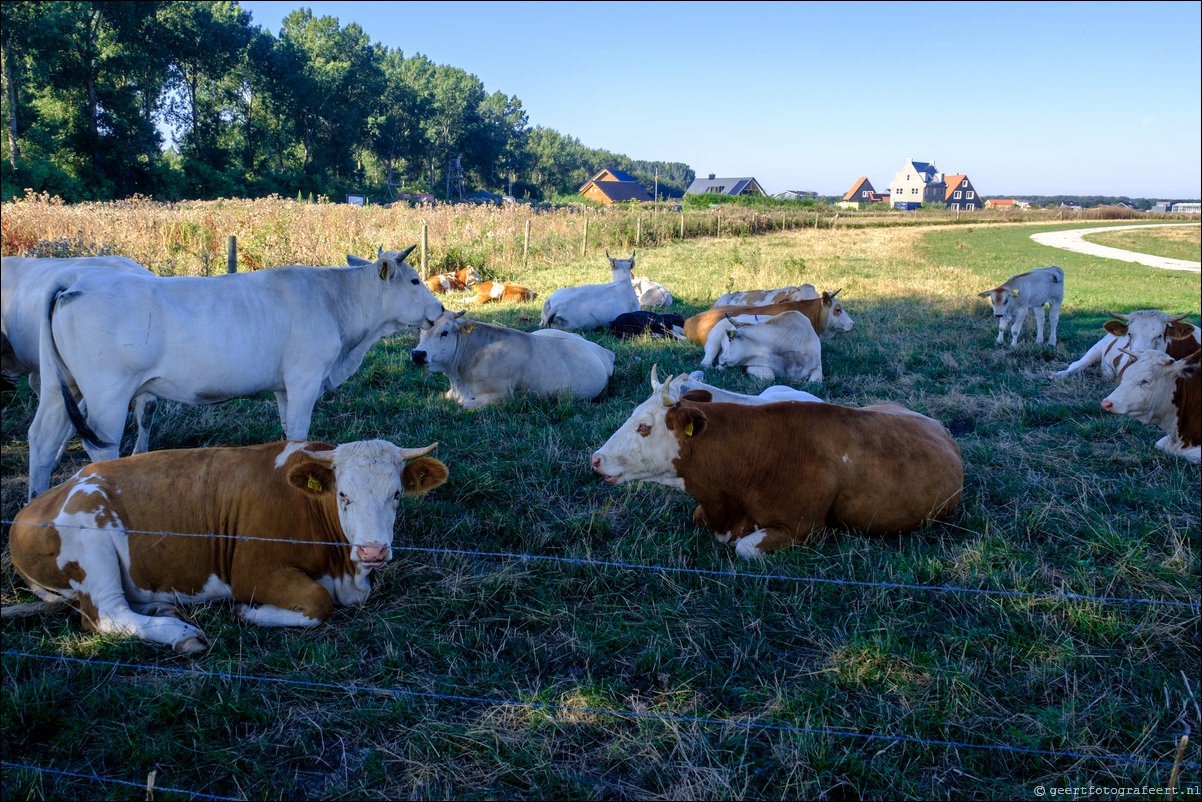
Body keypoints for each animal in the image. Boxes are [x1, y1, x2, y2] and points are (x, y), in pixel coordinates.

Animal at [7, 440, 449, 654]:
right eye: (344, 495)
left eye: (396, 494)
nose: (373, 551)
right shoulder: (252, 571)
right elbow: (317, 602)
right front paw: (249, 613)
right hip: (90, 540)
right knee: (106, 617)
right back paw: (179, 634)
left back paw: (164, 609)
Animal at [28, 246, 447, 495]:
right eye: (414, 280)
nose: (441, 308)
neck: (335, 301)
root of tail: (76, 281)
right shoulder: (304, 378)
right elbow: (299, 435)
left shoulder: (283, 386)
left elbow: (287, 434)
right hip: (107, 394)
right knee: (100, 447)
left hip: (60, 388)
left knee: (43, 439)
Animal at [415, 307, 620, 408]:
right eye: (420, 330)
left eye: (445, 332)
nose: (418, 354)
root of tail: (603, 351)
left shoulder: (503, 395)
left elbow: (465, 406)